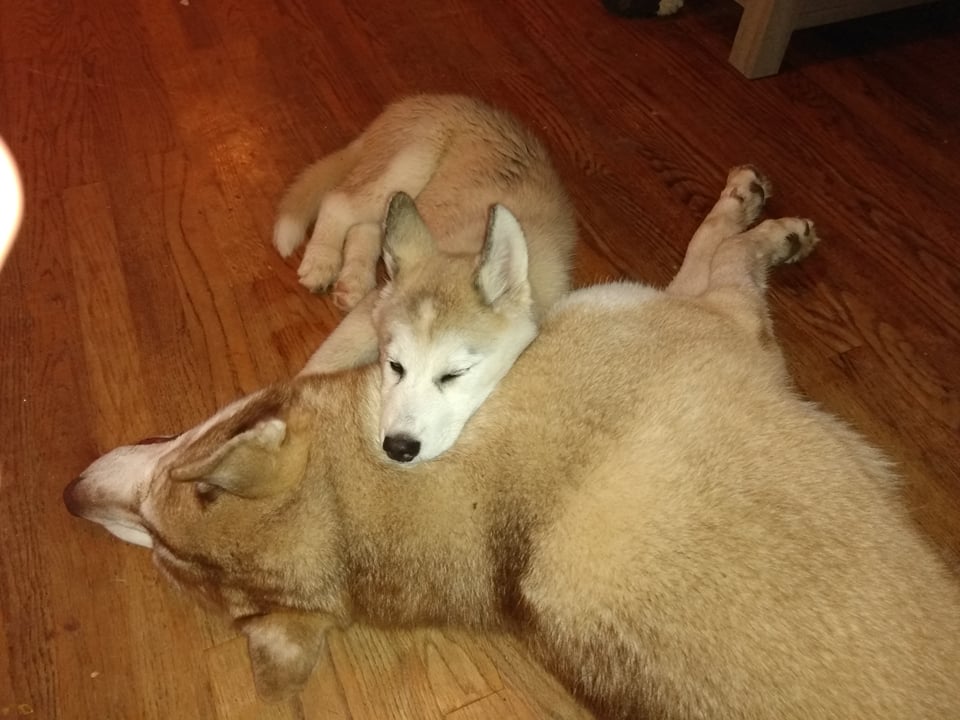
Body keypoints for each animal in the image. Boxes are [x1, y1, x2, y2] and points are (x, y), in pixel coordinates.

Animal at [65, 167, 960, 719]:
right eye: (159, 549)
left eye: (161, 514)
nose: (69, 498)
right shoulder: (715, 316)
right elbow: (719, 249)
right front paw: (760, 220)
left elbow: (708, 250)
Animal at [273, 94, 577, 463]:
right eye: (394, 365)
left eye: (455, 374)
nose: (398, 449)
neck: (462, 249)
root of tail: (427, 99)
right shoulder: (371, 312)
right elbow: (325, 363)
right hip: (407, 167)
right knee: (339, 203)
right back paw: (321, 260)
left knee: (366, 229)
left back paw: (353, 280)